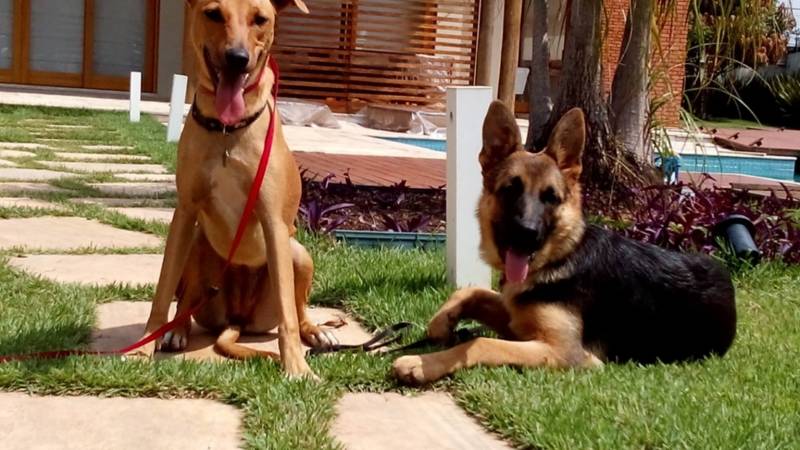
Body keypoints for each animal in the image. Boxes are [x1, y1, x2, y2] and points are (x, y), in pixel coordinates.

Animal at [138, 0, 334, 380]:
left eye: (260, 19)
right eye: (214, 13)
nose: (237, 58)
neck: (227, 131)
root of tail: (239, 318)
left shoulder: (273, 222)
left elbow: (288, 313)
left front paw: (297, 366)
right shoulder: (184, 212)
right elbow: (163, 290)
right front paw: (143, 347)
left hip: (298, 253)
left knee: (298, 305)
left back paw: (314, 330)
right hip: (197, 245)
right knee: (186, 297)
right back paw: (176, 331)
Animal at [394, 102, 736, 384]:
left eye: (551, 198)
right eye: (510, 189)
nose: (527, 232)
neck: (561, 255)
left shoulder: (564, 352)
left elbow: (480, 341)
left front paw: (423, 362)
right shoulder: (517, 319)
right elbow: (472, 291)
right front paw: (442, 321)